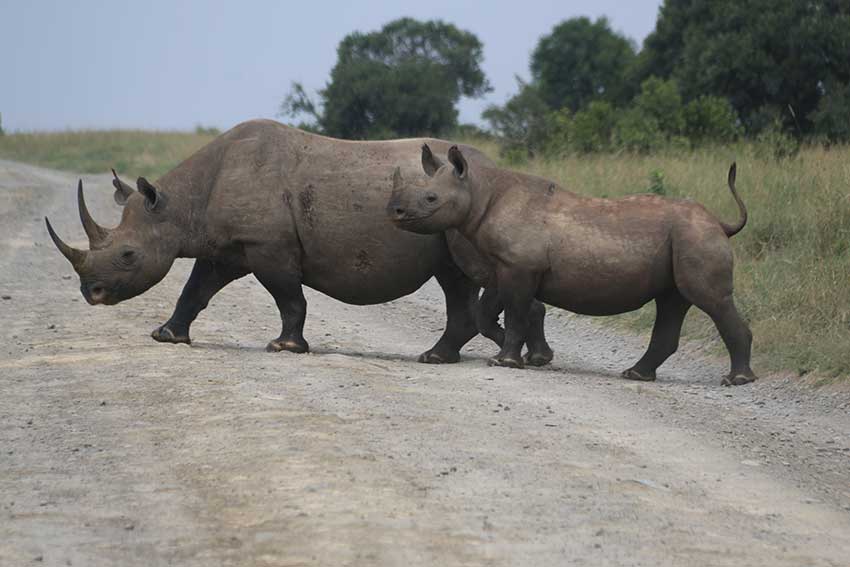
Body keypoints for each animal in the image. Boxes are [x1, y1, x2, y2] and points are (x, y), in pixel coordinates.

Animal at [44, 119, 553, 364]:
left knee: (469, 277)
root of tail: (491, 170)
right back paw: (437, 358)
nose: (92, 294)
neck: (180, 203)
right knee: (455, 282)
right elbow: (195, 290)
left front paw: (285, 347)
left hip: (460, 214)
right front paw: (166, 336)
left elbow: (289, 298)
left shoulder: (268, 245)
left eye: (128, 255)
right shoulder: (228, 246)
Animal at [387, 145, 757, 386]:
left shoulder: (519, 267)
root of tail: (720, 223)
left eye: (431, 199)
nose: (396, 212)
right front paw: (526, 355)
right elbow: (489, 312)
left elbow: (515, 312)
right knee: (671, 301)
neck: (480, 191)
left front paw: (505, 361)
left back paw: (735, 380)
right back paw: (636, 375)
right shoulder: (503, 266)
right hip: (685, 237)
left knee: (709, 299)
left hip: (695, 236)